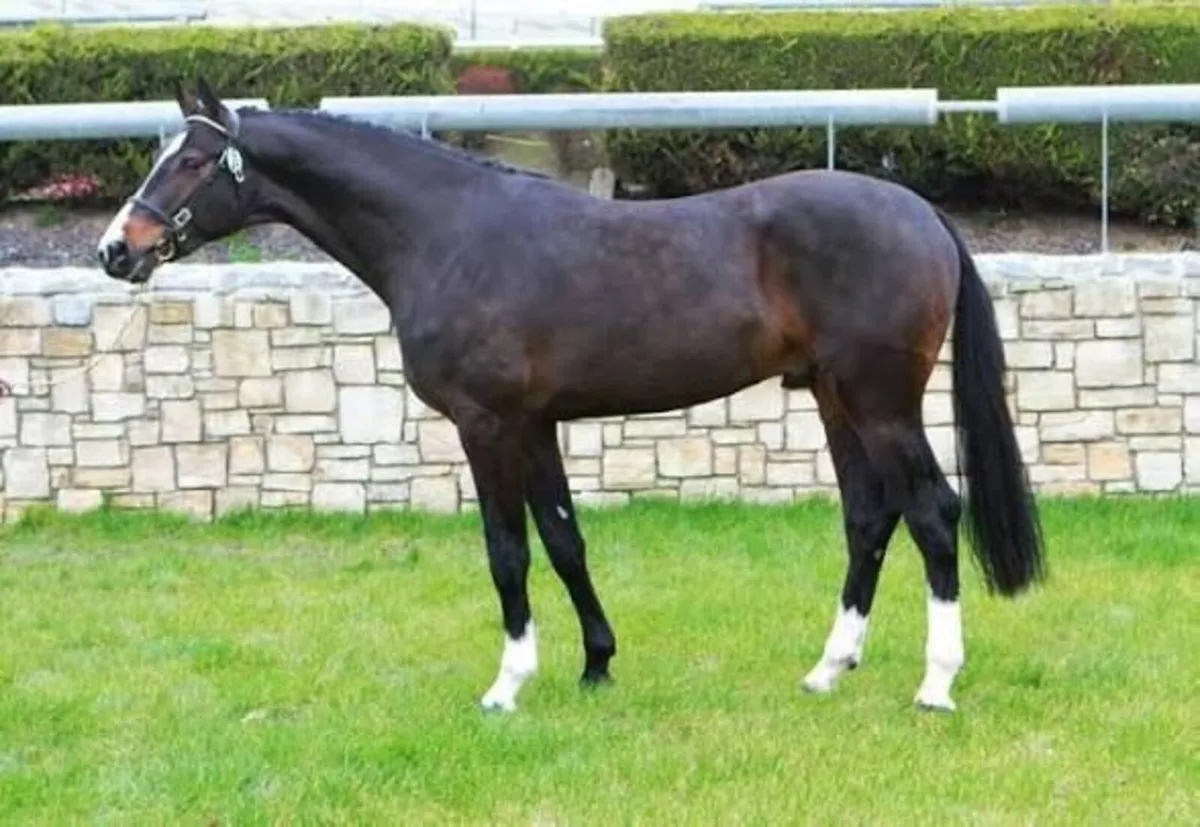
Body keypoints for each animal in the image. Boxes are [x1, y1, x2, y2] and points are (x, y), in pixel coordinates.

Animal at [96, 79, 1045, 714]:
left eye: (191, 161)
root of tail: (920, 213)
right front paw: (596, 664)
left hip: (881, 402)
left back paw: (936, 683)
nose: (117, 248)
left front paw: (507, 683)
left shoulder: (486, 425)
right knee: (868, 516)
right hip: (833, 398)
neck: (447, 233)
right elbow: (564, 541)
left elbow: (507, 551)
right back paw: (827, 667)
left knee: (933, 511)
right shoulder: (537, 424)